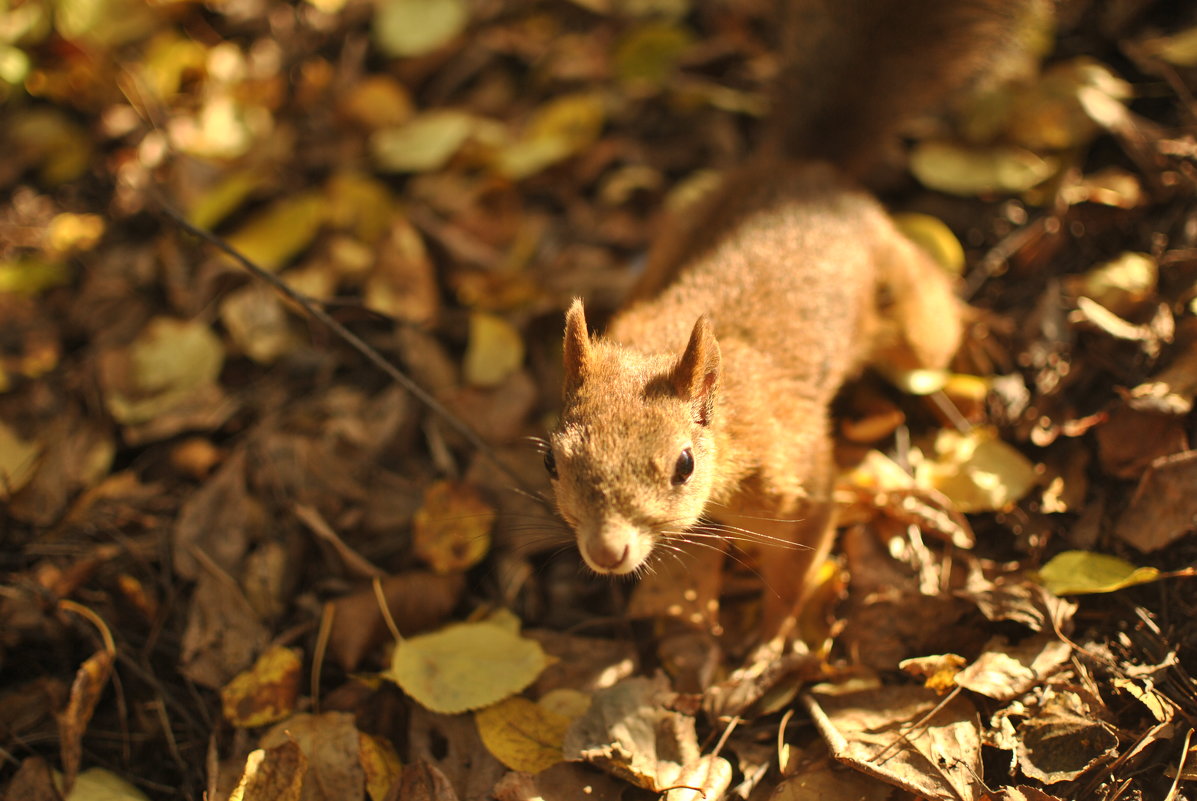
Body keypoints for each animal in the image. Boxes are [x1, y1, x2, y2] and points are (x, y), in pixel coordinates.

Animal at [548, 0, 1034, 636]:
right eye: (551, 462)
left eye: (684, 464)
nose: (607, 552)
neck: (730, 423)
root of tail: (811, 174)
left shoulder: (803, 484)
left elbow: (797, 568)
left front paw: (768, 638)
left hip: (910, 316)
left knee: (933, 302)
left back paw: (978, 332)